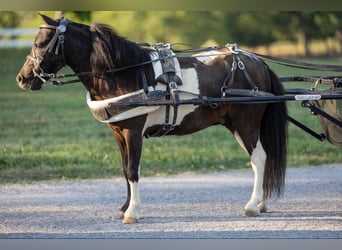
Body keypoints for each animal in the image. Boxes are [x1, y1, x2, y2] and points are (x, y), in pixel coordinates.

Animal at [17, 14, 288, 225]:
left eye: (40, 43)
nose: (22, 78)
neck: (126, 72)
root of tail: (257, 63)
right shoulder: (119, 133)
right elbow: (125, 169)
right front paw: (124, 208)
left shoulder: (133, 131)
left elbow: (132, 170)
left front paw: (132, 212)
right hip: (235, 124)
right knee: (258, 159)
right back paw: (260, 203)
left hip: (246, 123)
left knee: (259, 158)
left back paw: (252, 205)